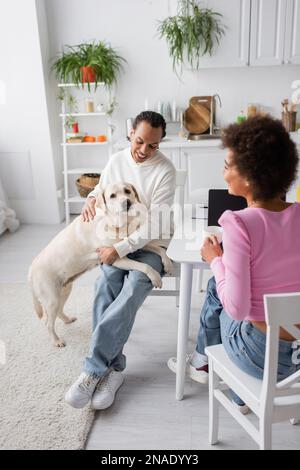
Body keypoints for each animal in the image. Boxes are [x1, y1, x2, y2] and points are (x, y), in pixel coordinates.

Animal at [28, 182, 173, 346]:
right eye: (112, 196)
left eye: (127, 191)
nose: (127, 202)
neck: (114, 222)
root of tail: (30, 270)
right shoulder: (117, 259)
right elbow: (145, 266)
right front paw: (156, 278)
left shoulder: (131, 244)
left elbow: (158, 249)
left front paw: (168, 263)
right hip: (51, 298)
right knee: (48, 322)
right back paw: (56, 341)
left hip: (65, 289)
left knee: (59, 311)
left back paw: (67, 319)